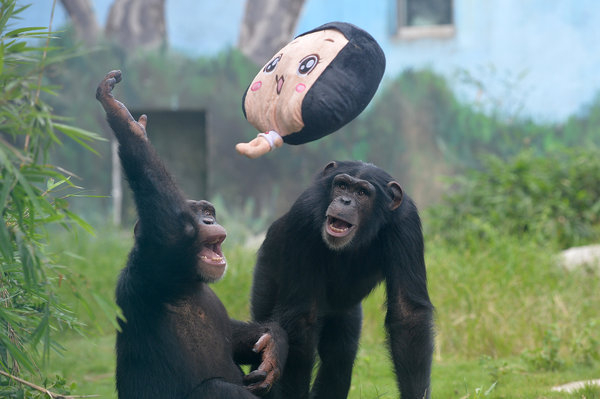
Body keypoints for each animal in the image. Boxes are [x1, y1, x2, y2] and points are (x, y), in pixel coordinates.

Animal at [96, 70, 288, 398]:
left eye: (209, 211)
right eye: (196, 215)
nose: (209, 220)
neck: (186, 280)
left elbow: (236, 336)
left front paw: (273, 342)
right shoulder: (152, 264)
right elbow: (176, 228)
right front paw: (126, 121)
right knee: (217, 389)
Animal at [251, 160, 434, 399]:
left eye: (362, 192)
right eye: (342, 186)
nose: (345, 200)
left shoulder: (406, 224)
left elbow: (408, 314)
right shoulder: (303, 216)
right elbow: (301, 317)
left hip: (346, 313)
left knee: (340, 356)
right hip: (265, 277)